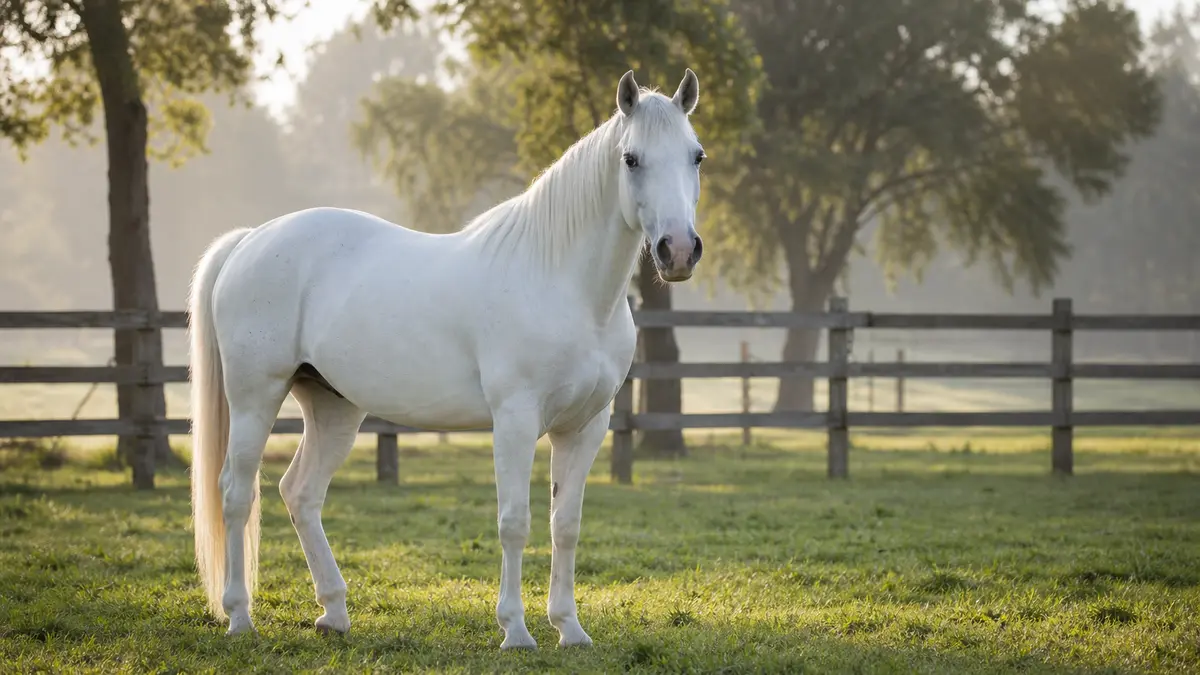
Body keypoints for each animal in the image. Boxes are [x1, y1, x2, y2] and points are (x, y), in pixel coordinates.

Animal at [188, 68, 706, 649]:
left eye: (696, 156)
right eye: (631, 158)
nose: (677, 251)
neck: (560, 281)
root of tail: (250, 240)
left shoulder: (586, 427)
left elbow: (565, 525)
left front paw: (569, 628)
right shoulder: (515, 421)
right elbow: (515, 522)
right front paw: (516, 630)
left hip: (333, 407)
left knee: (300, 493)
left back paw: (335, 613)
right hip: (255, 397)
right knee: (237, 493)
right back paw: (239, 616)